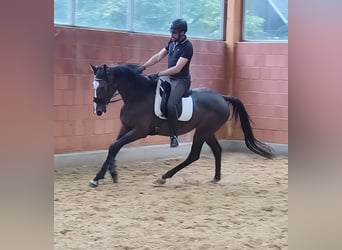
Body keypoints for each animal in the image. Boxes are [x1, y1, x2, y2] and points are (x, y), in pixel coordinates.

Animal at [89, 63, 276, 187]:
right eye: (94, 85)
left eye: (103, 86)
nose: (98, 110)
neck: (137, 97)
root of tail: (222, 97)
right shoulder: (126, 128)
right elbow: (113, 147)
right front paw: (106, 175)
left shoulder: (139, 131)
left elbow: (114, 146)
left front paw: (102, 177)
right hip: (207, 132)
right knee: (217, 150)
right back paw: (216, 177)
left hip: (202, 131)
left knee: (194, 155)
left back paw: (164, 177)